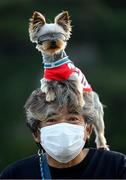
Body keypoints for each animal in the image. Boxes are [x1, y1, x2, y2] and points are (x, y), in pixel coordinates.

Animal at [28, 10, 109, 150]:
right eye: (46, 36)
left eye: (59, 35)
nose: (54, 41)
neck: (54, 62)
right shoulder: (47, 79)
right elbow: (48, 87)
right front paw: (50, 97)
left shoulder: (73, 78)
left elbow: (76, 90)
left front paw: (79, 103)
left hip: (97, 113)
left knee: (99, 131)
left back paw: (102, 146)